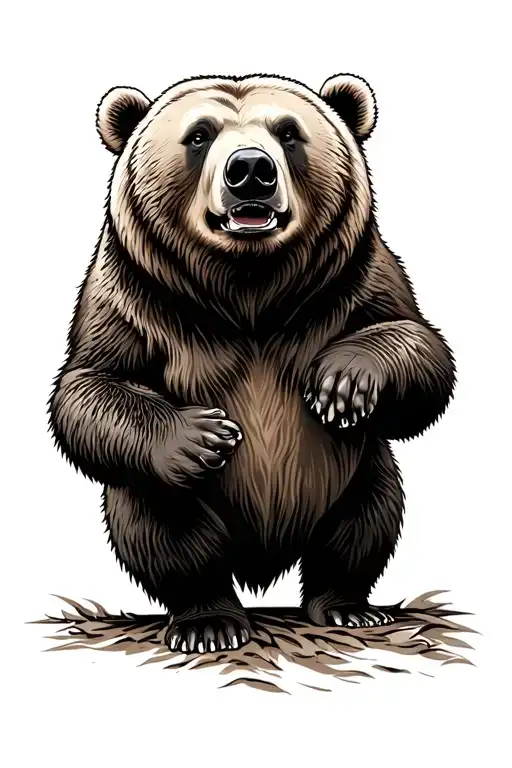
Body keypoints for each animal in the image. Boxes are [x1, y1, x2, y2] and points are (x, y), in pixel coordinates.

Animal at [49, 73, 455, 655]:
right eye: (199, 135)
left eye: (288, 132)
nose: (250, 170)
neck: (249, 290)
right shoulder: (134, 293)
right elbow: (92, 385)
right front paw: (201, 436)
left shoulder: (357, 275)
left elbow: (420, 349)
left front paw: (343, 382)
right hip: (165, 497)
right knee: (164, 528)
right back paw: (208, 620)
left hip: (358, 474)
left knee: (367, 520)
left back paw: (347, 607)